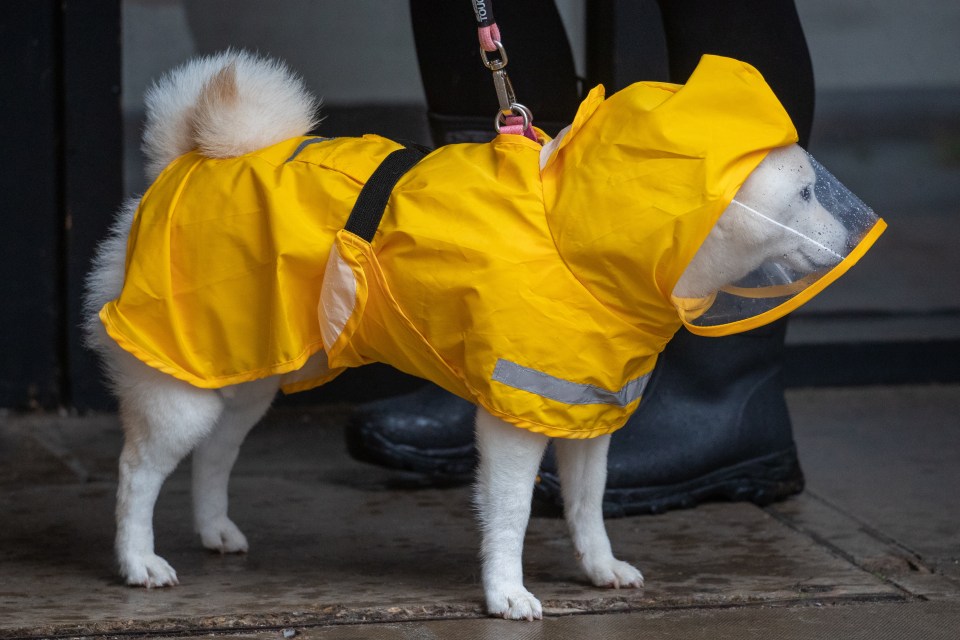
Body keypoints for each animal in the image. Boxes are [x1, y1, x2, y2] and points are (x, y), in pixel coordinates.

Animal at [86, 51, 856, 620]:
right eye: (805, 194)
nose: (851, 236)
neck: (580, 246)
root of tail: (185, 158)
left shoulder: (584, 412)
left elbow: (587, 505)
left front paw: (599, 567)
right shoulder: (515, 419)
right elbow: (511, 512)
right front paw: (506, 593)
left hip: (246, 376)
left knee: (215, 453)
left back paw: (214, 529)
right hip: (182, 388)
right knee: (135, 472)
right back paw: (137, 560)